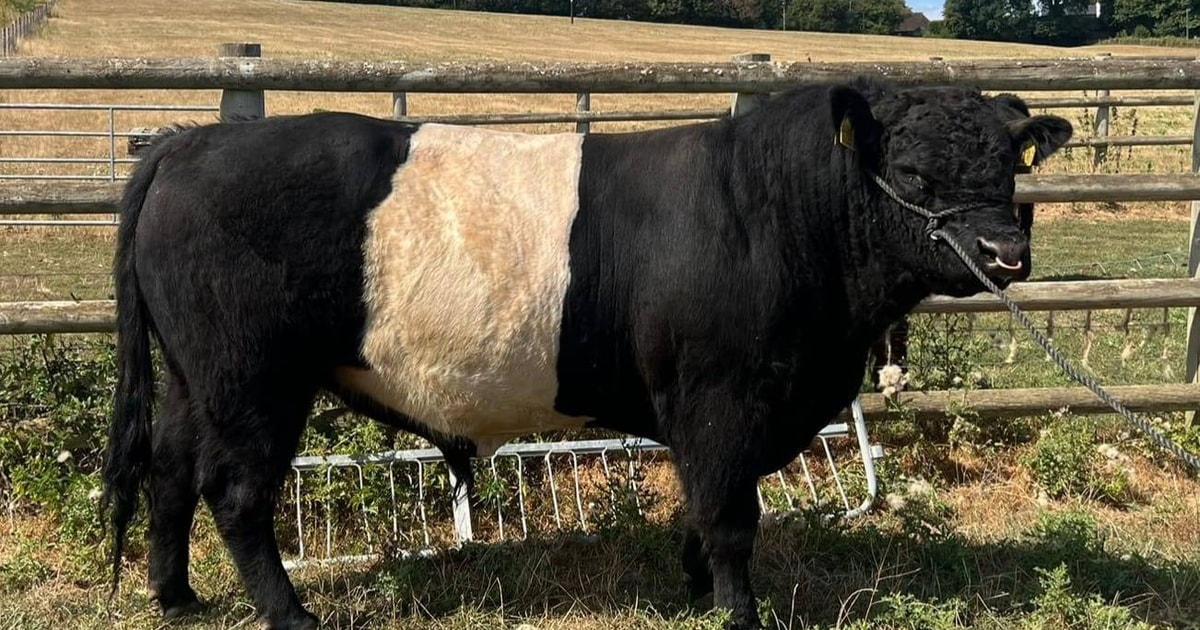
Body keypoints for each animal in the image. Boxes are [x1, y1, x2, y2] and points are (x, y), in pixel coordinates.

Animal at [100, 77, 1071, 630]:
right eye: (912, 174)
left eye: (1009, 167)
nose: (1005, 255)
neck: (770, 212)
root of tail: (189, 144)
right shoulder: (721, 397)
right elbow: (729, 515)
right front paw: (738, 613)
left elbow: (707, 509)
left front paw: (694, 589)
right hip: (251, 380)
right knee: (234, 494)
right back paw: (291, 615)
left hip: (192, 378)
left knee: (169, 475)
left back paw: (178, 600)